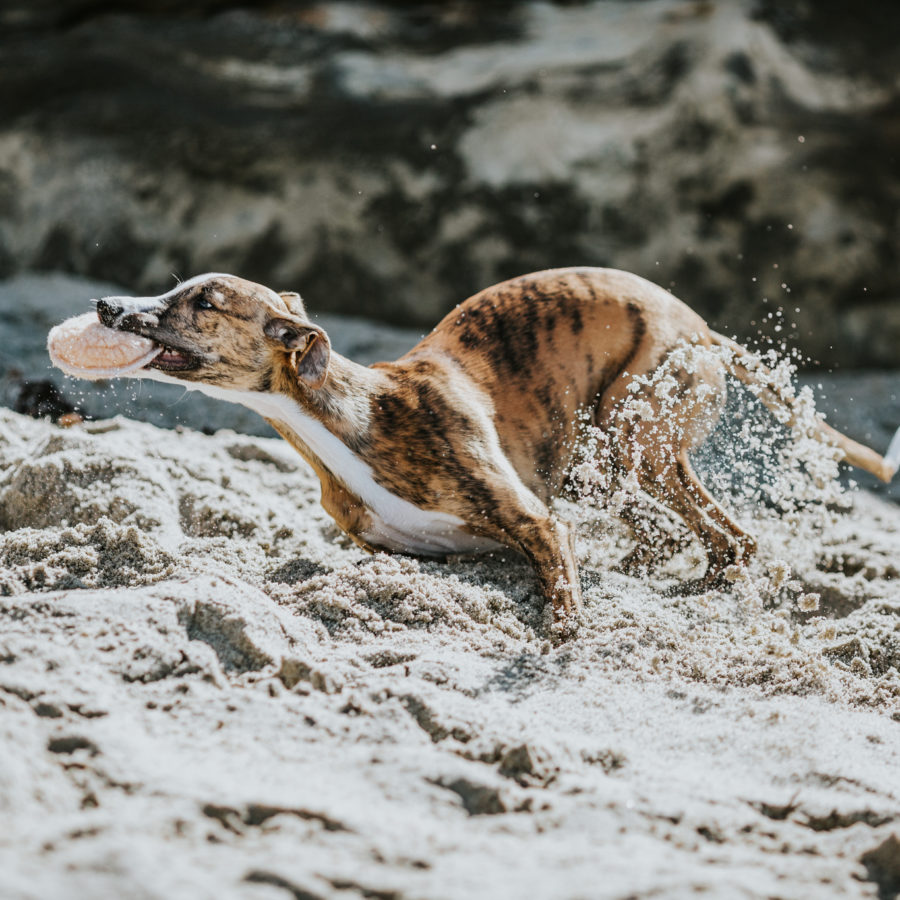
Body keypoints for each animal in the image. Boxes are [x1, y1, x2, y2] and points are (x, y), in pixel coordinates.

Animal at [93, 268, 900, 624]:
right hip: (598, 461)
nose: (105, 304)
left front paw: (562, 632)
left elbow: (559, 593)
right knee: (679, 538)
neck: (352, 416)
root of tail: (703, 328)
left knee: (731, 539)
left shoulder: (537, 520)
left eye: (205, 301)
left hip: (628, 436)